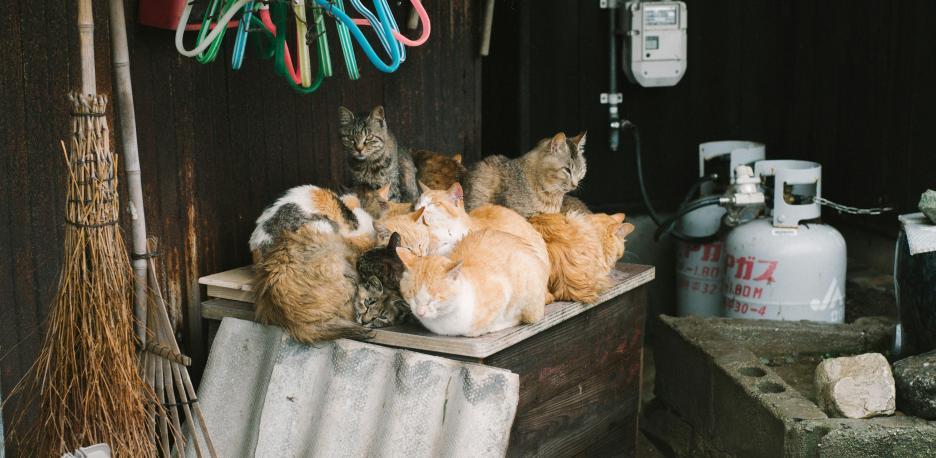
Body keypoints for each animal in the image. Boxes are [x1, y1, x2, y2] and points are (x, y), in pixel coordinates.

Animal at [396, 229, 550, 337]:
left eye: (433, 298)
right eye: (412, 295)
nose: (420, 312)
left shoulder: (503, 292)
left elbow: (484, 327)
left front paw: (497, 325)